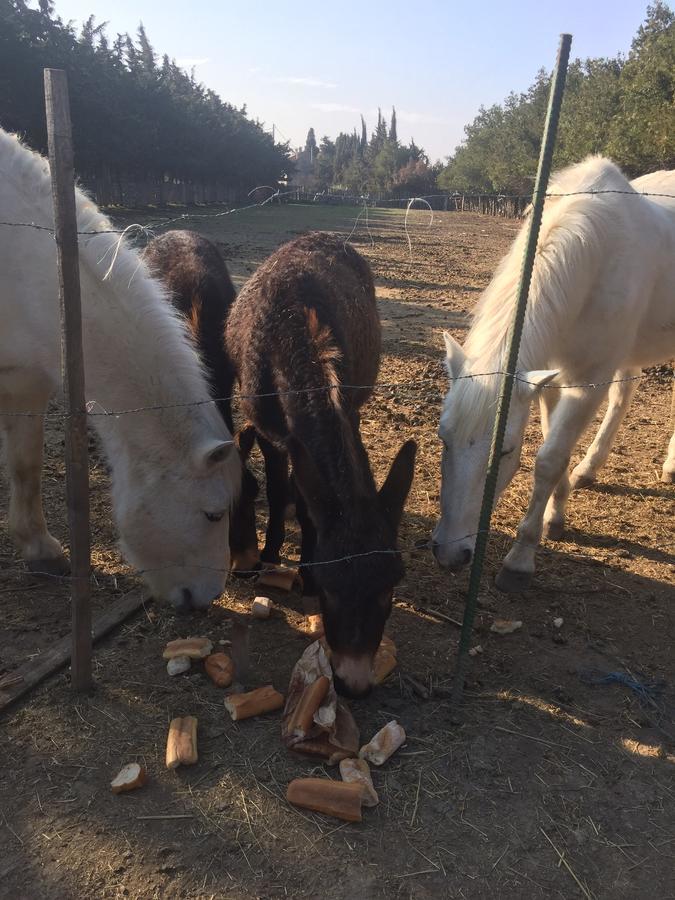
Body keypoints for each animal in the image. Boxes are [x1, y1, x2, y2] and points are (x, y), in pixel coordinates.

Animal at [434, 156, 675, 592]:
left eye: (505, 450)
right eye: (444, 438)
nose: (450, 554)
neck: (597, 255)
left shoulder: (588, 379)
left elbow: (548, 459)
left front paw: (520, 558)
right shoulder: (550, 376)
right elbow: (553, 445)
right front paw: (555, 515)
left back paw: (670, 465)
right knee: (624, 395)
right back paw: (589, 470)